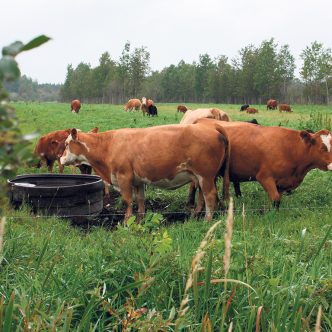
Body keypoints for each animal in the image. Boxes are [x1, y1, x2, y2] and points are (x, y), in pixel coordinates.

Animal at [59, 123, 230, 222]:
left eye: (66, 144)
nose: (60, 158)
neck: (108, 146)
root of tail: (211, 127)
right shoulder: (138, 181)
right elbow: (140, 200)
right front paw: (140, 220)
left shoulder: (124, 177)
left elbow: (128, 201)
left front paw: (126, 222)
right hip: (202, 177)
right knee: (202, 197)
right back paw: (195, 217)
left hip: (205, 176)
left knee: (210, 196)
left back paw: (207, 220)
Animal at [189, 118, 332, 208]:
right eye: (322, 148)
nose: (331, 164)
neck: (290, 148)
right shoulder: (264, 176)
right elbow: (275, 199)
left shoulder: (281, 182)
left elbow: (276, 199)